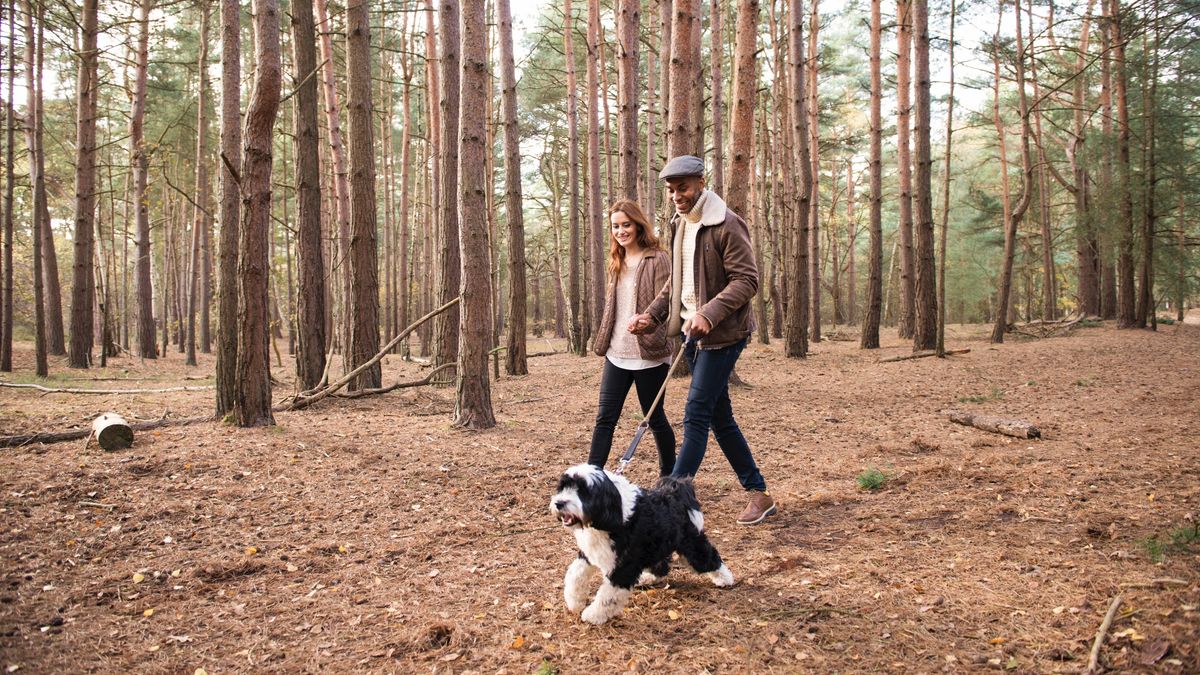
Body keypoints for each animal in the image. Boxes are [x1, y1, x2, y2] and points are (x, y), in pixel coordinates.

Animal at [549, 458, 734, 624]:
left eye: (583, 491)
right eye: (564, 487)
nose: (559, 503)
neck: (613, 512)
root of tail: (675, 491)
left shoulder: (623, 567)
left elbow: (608, 596)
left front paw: (593, 615)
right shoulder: (590, 554)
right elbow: (575, 574)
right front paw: (575, 601)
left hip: (691, 544)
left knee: (709, 559)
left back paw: (725, 579)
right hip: (658, 544)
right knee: (661, 565)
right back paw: (647, 578)